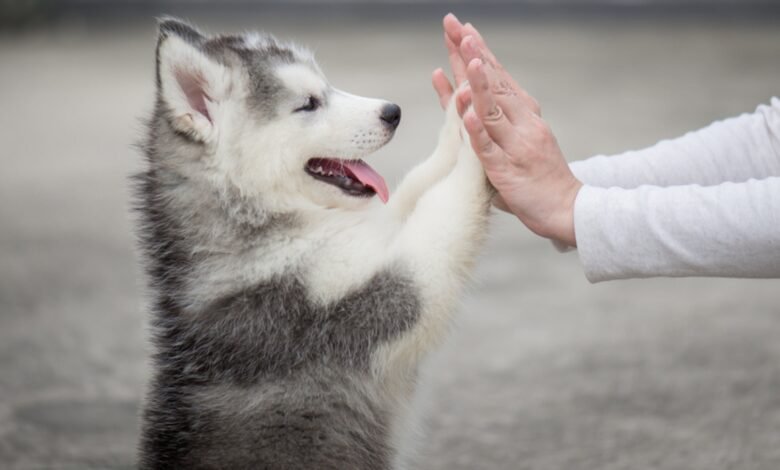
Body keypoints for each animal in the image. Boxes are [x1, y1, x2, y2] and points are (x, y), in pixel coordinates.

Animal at [136, 18, 490, 470]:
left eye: (327, 86)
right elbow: (442, 212)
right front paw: (481, 134)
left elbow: (415, 187)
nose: (393, 112)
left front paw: (460, 114)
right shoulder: (358, 302)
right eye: (308, 104)